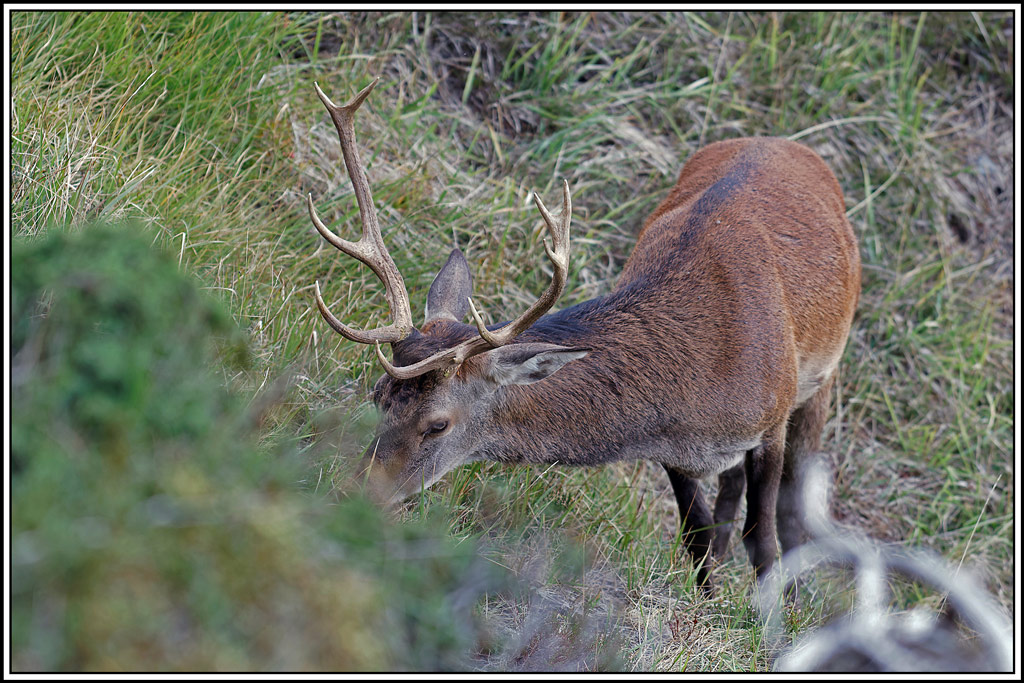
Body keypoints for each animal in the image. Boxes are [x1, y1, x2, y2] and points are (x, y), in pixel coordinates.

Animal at [306, 77, 861, 591]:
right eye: (377, 394)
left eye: (438, 424)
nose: (354, 493)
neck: (705, 383)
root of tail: (784, 141)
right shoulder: (672, 455)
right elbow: (697, 539)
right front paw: (708, 602)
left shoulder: (772, 418)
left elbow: (764, 539)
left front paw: (767, 623)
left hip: (820, 377)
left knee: (791, 511)